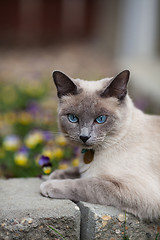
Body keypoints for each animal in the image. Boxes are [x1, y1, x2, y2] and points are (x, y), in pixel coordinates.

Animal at [39, 69, 160, 219]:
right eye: (73, 118)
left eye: (101, 119)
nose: (84, 137)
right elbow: (76, 171)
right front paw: (55, 175)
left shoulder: (130, 188)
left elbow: (86, 184)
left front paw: (49, 184)